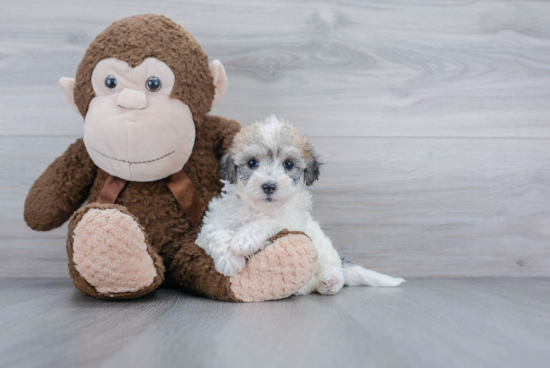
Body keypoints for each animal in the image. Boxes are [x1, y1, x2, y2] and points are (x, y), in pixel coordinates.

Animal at [197, 116, 406, 294]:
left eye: (288, 164)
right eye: (252, 163)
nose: (269, 186)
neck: (260, 209)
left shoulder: (292, 220)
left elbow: (272, 220)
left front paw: (242, 240)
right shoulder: (212, 223)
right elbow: (216, 232)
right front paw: (228, 260)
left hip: (323, 247)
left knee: (331, 267)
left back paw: (329, 281)